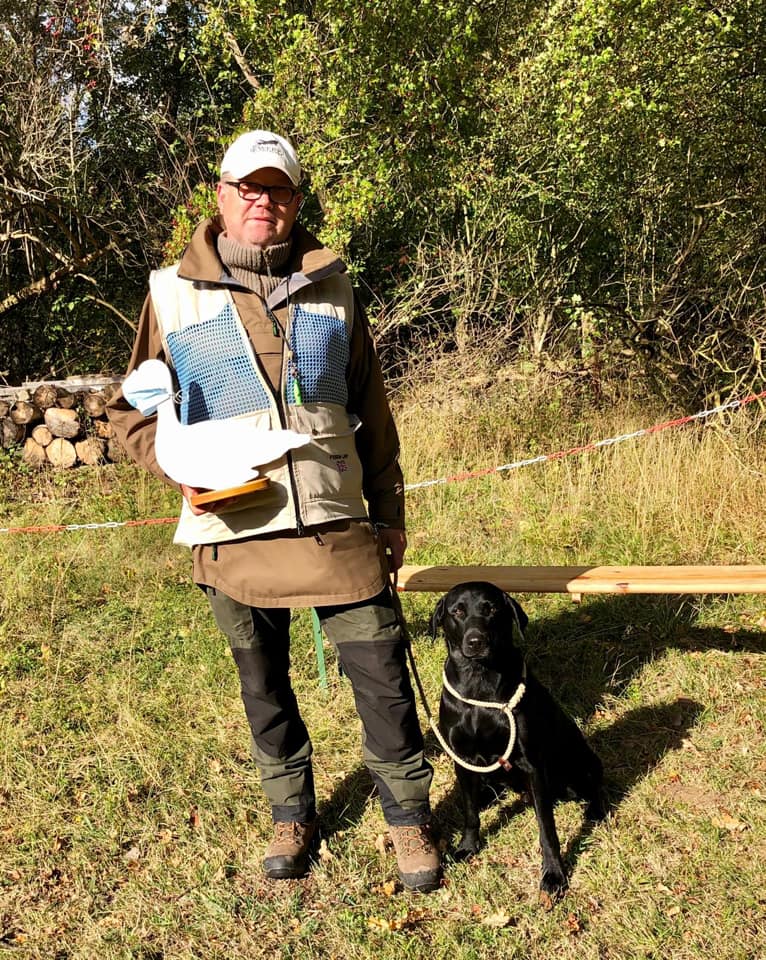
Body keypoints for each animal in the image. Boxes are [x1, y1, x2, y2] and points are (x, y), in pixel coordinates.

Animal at [432, 580, 608, 896]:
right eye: (458, 611)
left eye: (491, 609)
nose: (476, 641)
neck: (479, 685)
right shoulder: (461, 759)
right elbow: (469, 813)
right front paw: (467, 847)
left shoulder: (532, 765)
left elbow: (547, 829)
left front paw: (554, 874)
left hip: (580, 762)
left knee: (594, 784)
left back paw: (596, 811)